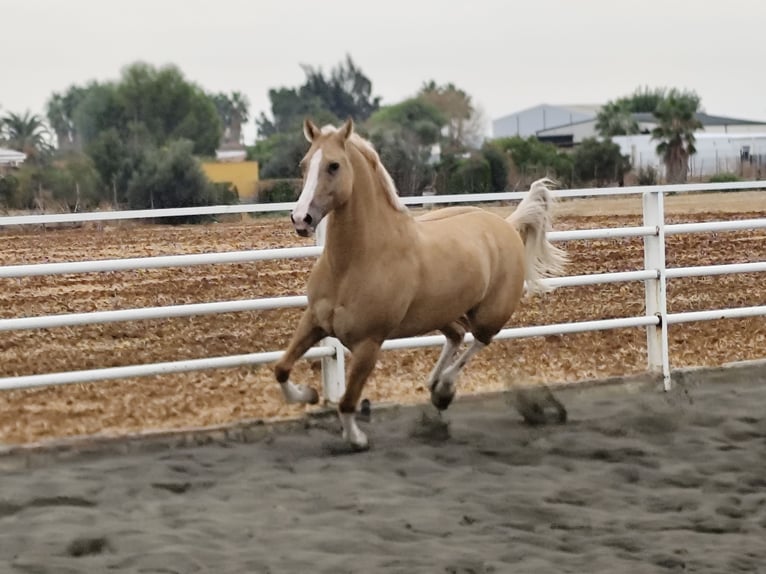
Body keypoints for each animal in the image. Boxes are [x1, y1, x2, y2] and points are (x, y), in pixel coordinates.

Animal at [273, 118, 567, 449]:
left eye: (334, 165)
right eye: (304, 164)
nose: (302, 219)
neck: (354, 262)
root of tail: (506, 224)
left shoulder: (368, 344)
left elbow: (348, 401)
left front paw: (356, 438)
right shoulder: (314, 322)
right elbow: (281, 368)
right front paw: (308, 395)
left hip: (490, 315)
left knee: (479, 340)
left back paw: (444, 389)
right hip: (440, 313)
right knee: (457, 335)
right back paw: (434, 384)